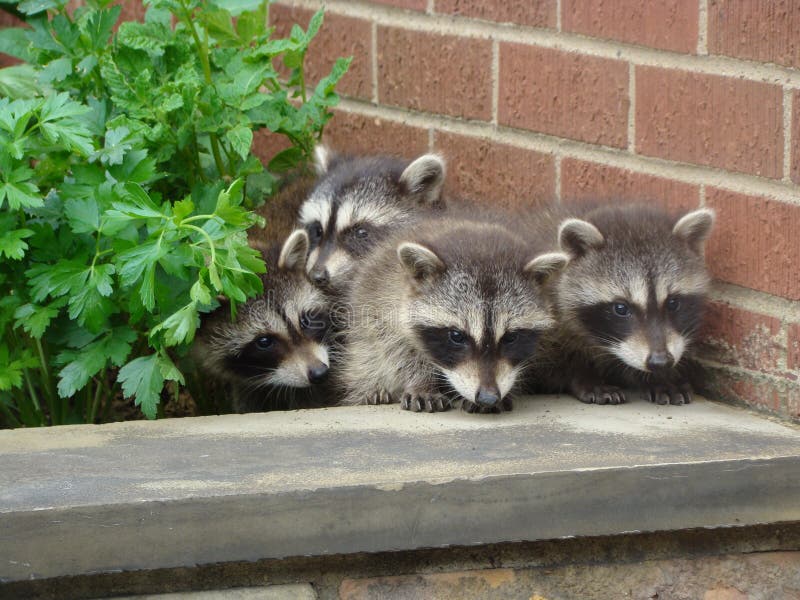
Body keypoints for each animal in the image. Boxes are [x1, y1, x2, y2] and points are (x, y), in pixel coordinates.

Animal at [340, 214, 564, 412]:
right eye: (457, 336)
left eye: (511, 337)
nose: (488, 398)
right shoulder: (385, 307)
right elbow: (401, 351)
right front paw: (422, 382)